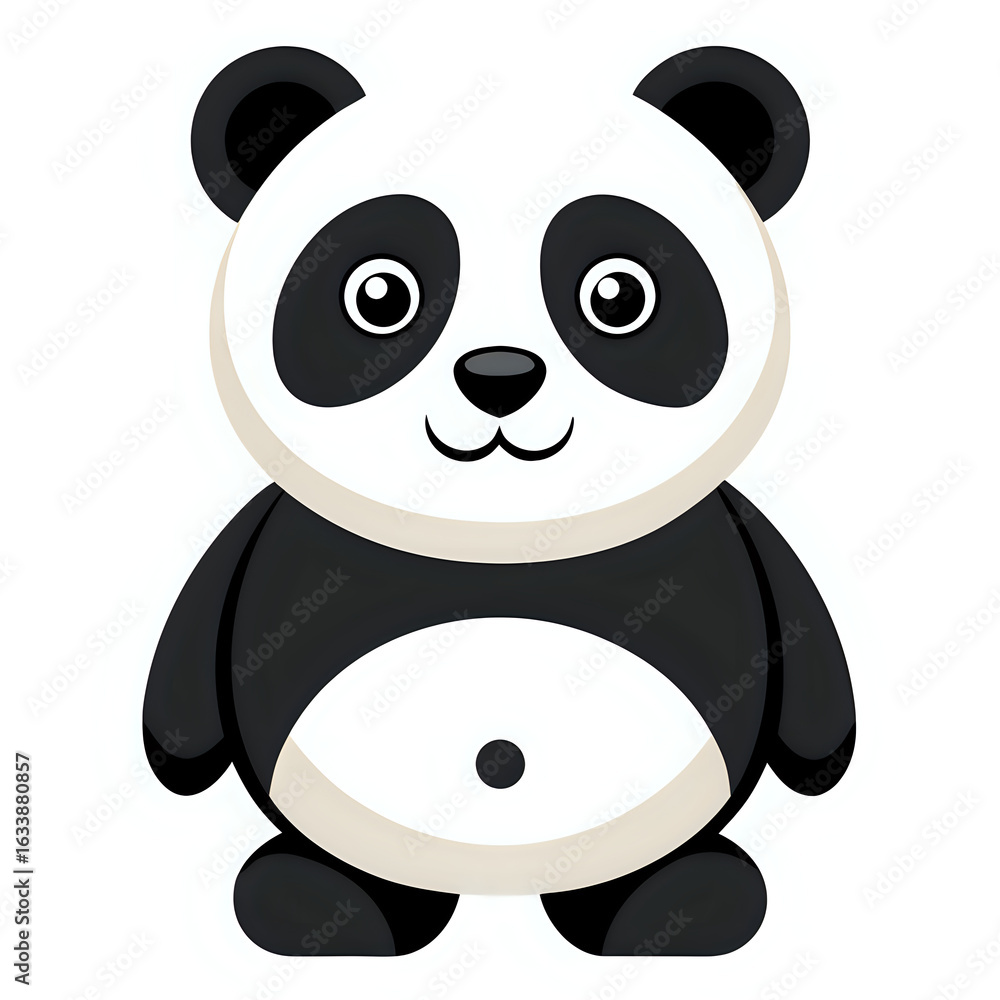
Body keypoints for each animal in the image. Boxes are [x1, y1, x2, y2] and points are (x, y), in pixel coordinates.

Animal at [143, 40, 855, 958]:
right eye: (381, 295)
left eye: (619, 295)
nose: (499, 376)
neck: (500, 532)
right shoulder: (273, 529)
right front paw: (177, 748)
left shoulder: (726, 527)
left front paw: (821, 751)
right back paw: (324, 906)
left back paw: (676, 905)